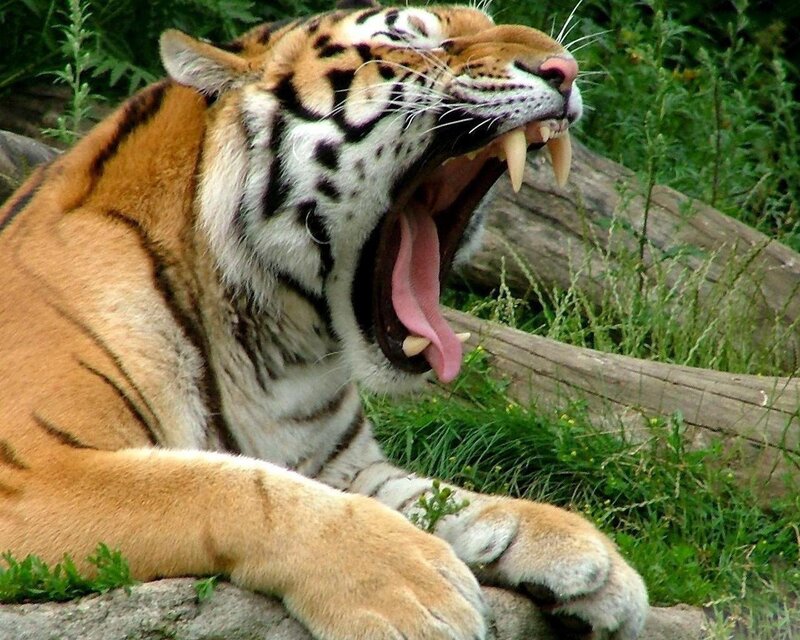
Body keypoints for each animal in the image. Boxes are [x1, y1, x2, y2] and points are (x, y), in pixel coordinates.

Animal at [0, 1, 648, 638]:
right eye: (414, 39)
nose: (566, 69)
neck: (273, 345)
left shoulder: (345, 466)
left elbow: (437, 496)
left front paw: (586, 556)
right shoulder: (35, 472)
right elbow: (229, 486)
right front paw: (412, 587)